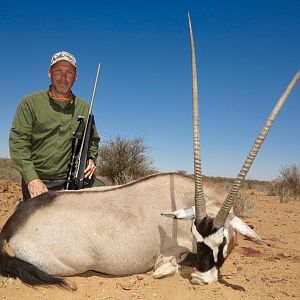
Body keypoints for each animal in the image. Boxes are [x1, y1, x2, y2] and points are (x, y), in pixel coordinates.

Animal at [0, 14, 300, 288]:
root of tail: (12, 226)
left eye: (222, 240)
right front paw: (167, 269)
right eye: (197, 237)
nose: (201, 279)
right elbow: (167, 265)